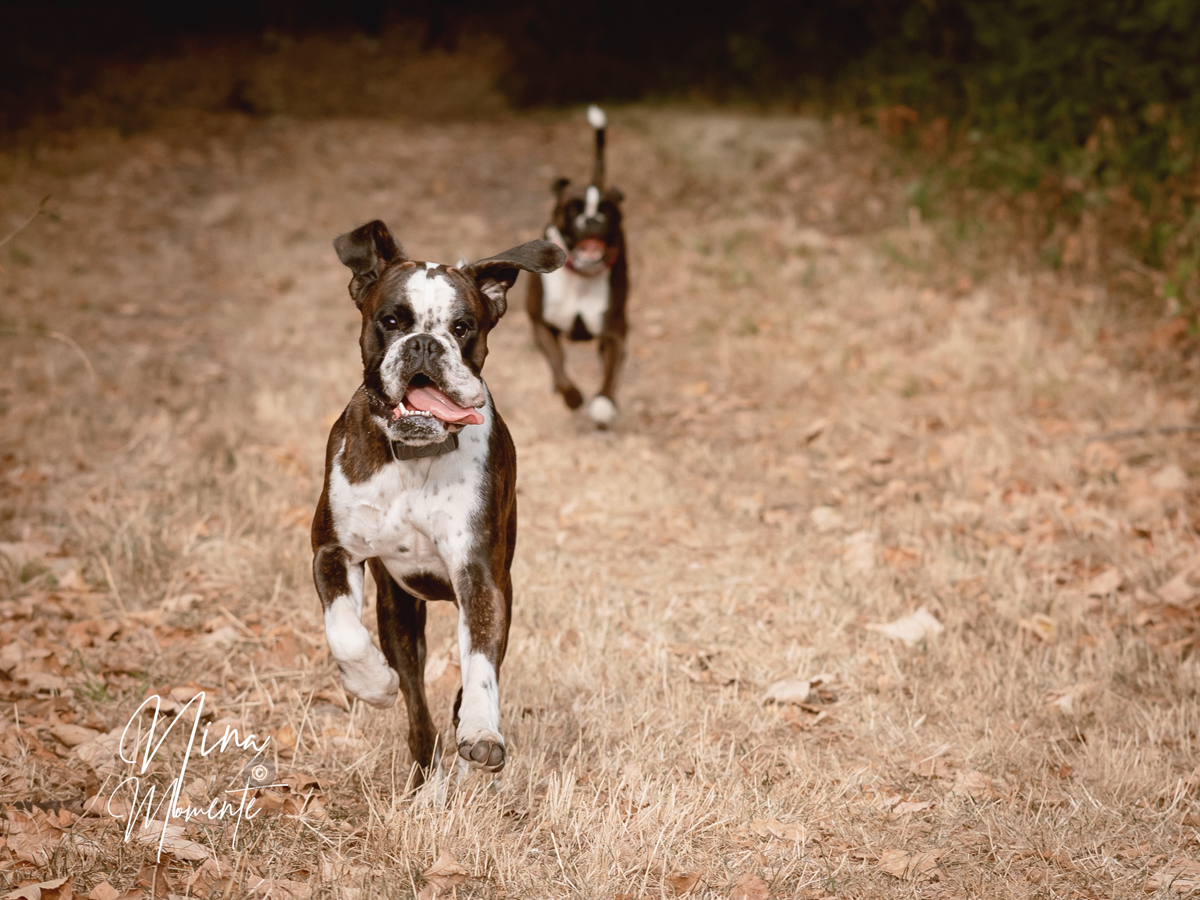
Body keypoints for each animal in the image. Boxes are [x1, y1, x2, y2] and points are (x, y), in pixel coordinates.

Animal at [314, 220, 566, 782]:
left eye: (463, 327)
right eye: (391, 320)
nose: (425, 344)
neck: (414, 456)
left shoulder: (480, 577)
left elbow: (481, 664)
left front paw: (480, 729)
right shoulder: (333, 551)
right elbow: (344, 632)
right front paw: (372, 683)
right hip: (400, 612)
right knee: (415, 698)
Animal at [530, 105, 633, 429]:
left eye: (608, 211)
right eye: (573, 208)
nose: (591, 220)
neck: (580, 276)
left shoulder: (614, 331)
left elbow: (611, 371)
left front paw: (603, 404)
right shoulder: (542, 324)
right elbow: (558, 364)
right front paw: (571, 395)